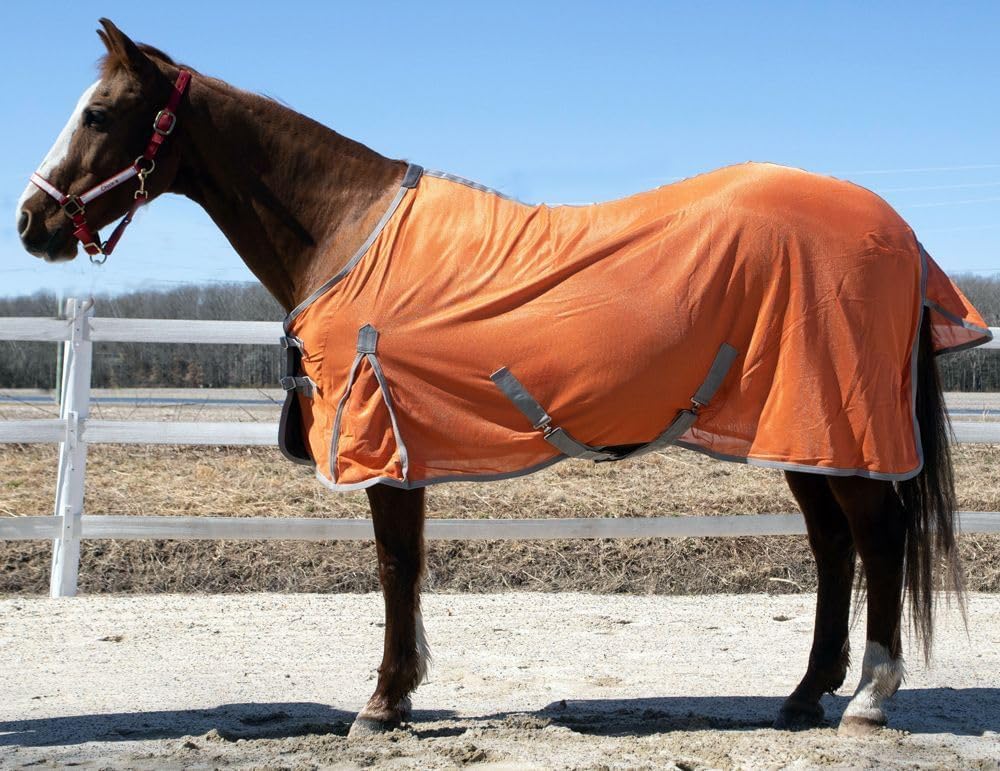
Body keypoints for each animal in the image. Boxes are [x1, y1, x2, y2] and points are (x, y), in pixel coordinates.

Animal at [15, 19, 990, 738]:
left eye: (99, 113)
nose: (32, 222)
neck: (348, 230)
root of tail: (896, 231)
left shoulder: (384, 442)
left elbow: (395, 565)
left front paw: (383, 701)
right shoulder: (402, 444)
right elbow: (406, 568)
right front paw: (402, 688)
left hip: (835, 420)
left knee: (878, 537)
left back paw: (869, 699)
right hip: (800, 426)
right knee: (834, 546)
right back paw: (804, 693)